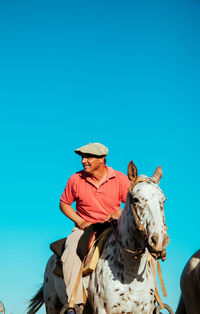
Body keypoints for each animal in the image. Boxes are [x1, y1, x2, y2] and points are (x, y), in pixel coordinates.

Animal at [27, 162, 172, 314]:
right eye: (135, 199)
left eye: (163, 200)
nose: (159, 240)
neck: (131, 273)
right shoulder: (103, 310)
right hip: (52, 305)